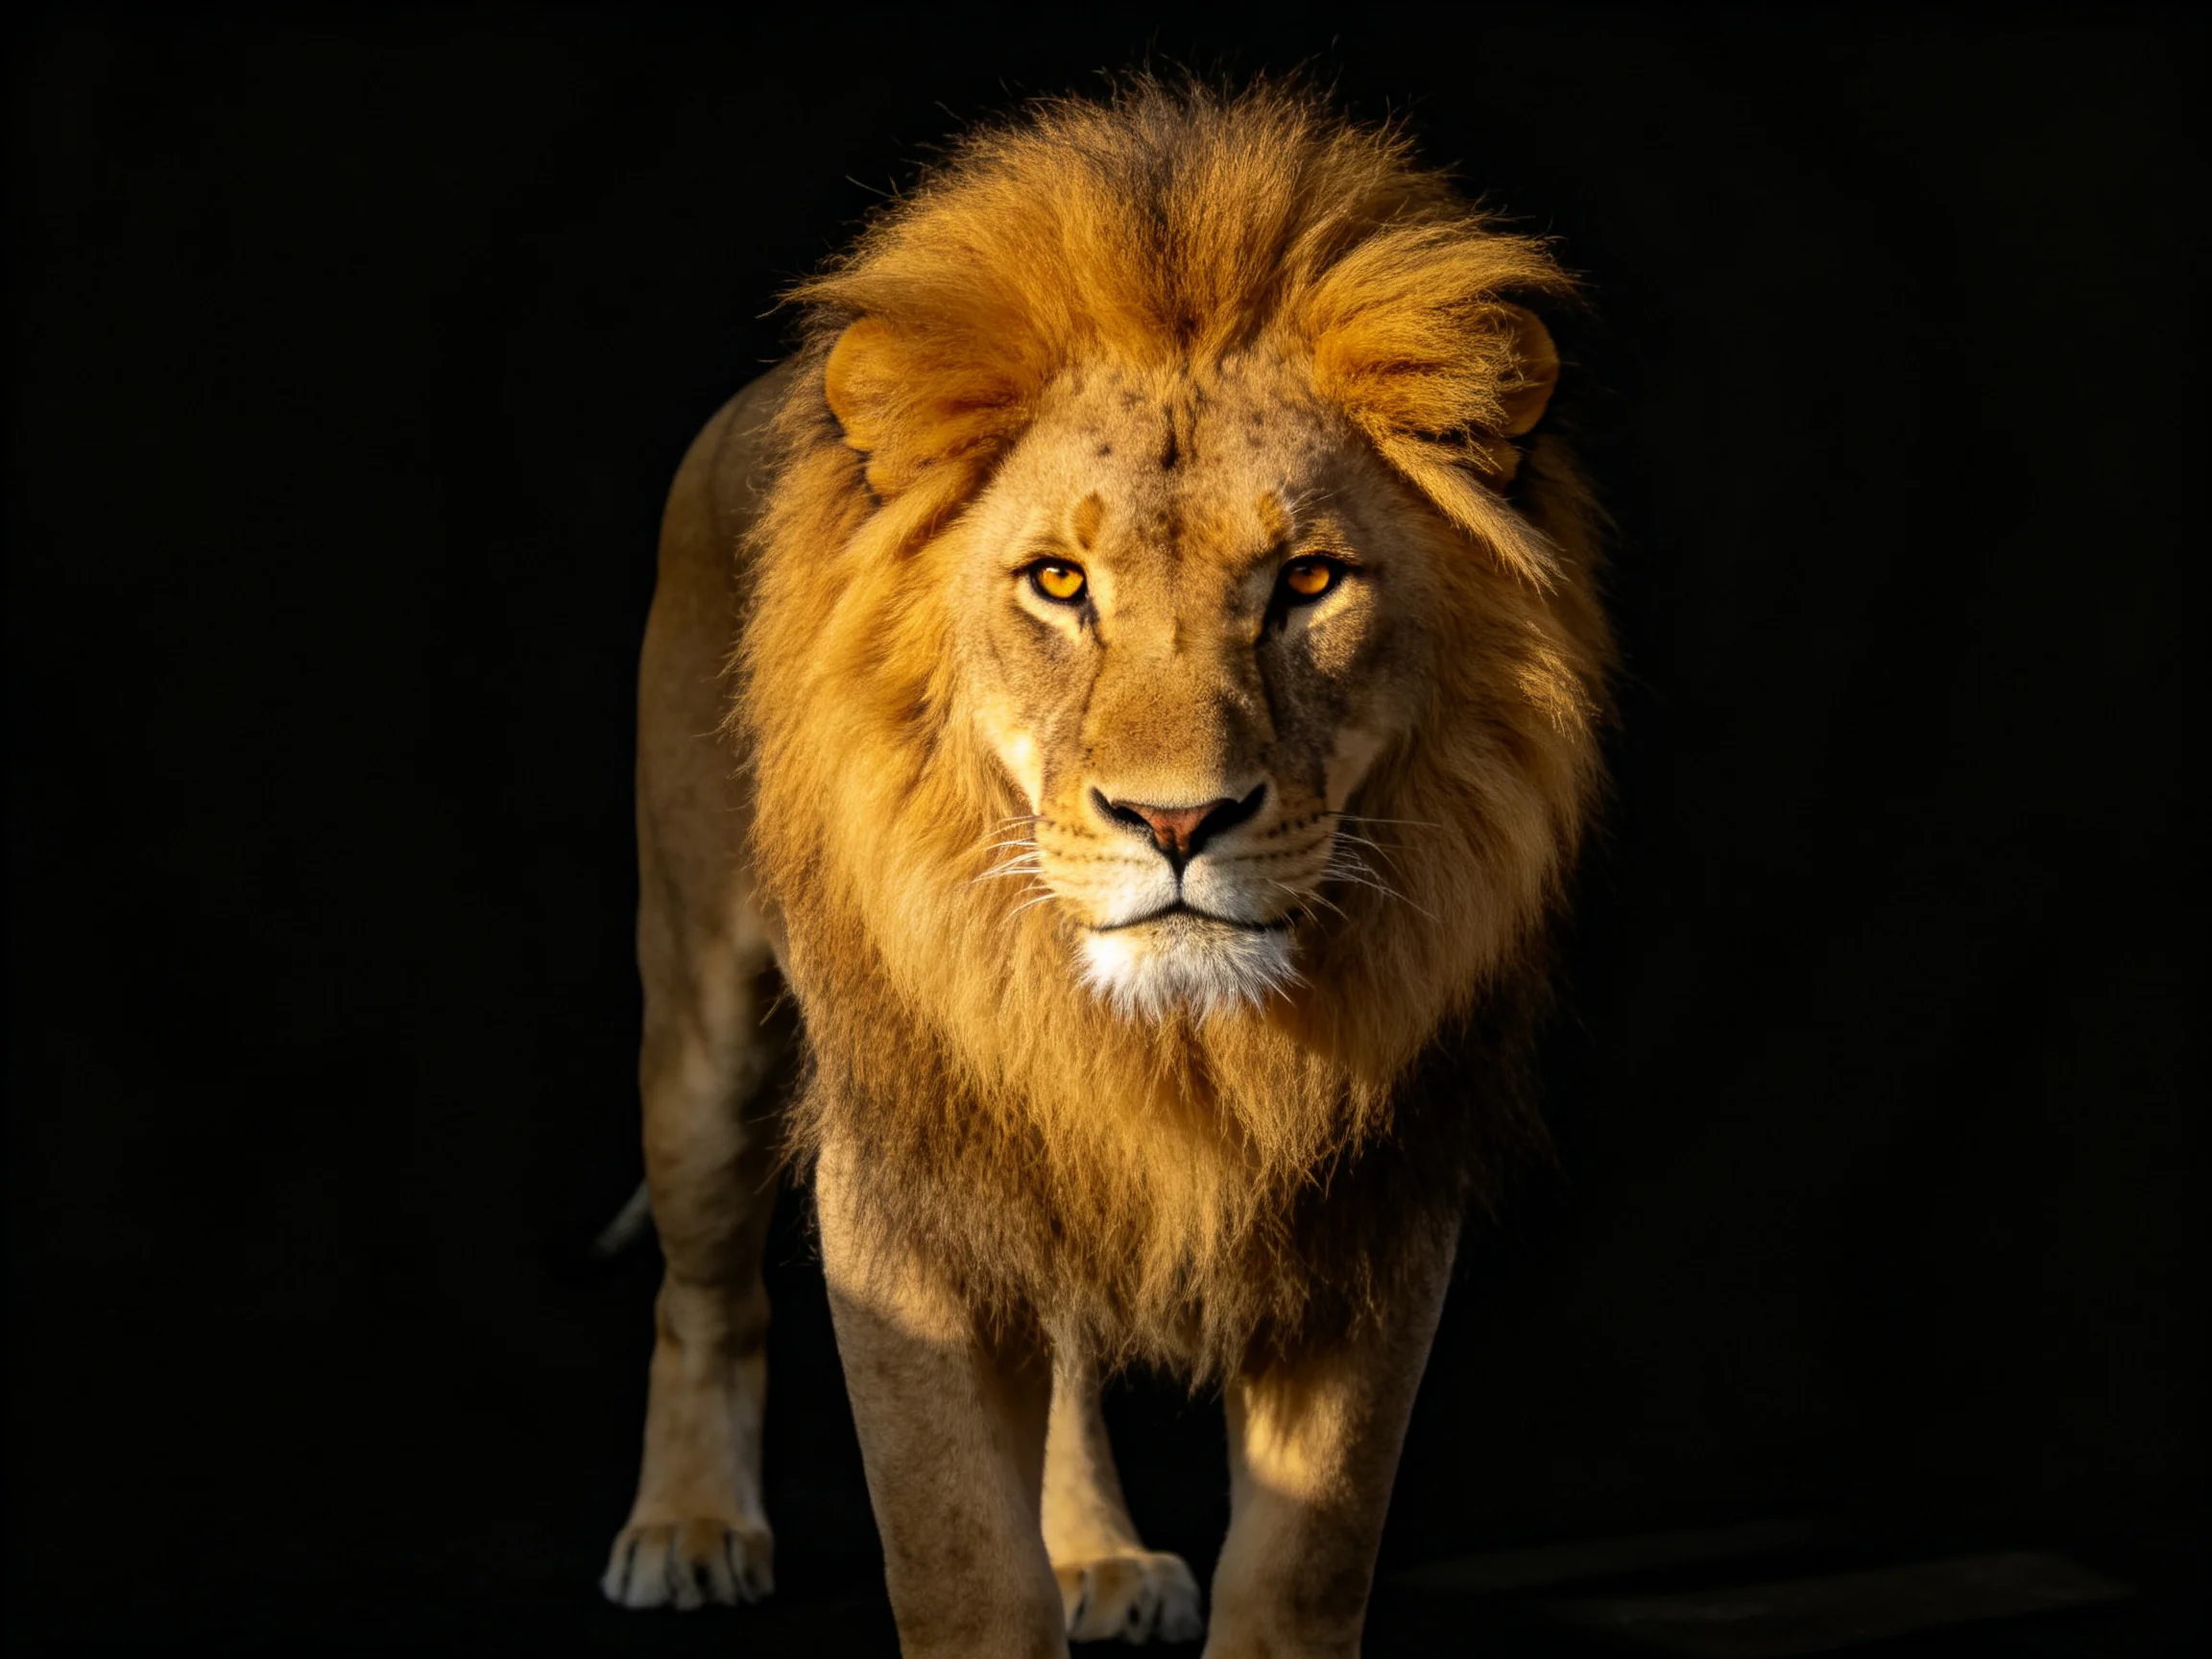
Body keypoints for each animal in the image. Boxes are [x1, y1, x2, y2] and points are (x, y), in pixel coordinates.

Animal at [601, 79, 1610, 1656]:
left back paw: (1098, 1553)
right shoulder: (902, 1190)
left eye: (1308, 581)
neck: (1177, 1042)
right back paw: (690, 1530)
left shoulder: (1376, 1210)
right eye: (1060, 585)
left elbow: (1304, 1559)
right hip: (705, 1015)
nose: (1177, 822)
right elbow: (960, 1554)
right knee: (704, 1288)